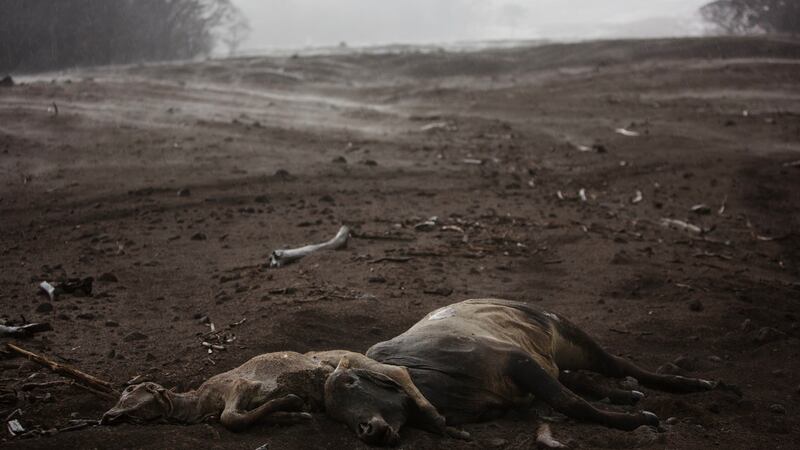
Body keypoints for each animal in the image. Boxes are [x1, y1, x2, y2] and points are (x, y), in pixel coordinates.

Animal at [323, 298, 736, 446]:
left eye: (352, 381)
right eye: (336, 414)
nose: (366, 429)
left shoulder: (515, 361)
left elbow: (571, 404)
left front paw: (637, 421)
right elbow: (568, 396)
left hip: (571, 335)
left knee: (620, 366)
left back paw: (690, 384)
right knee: (579, 379)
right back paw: (626, 394)